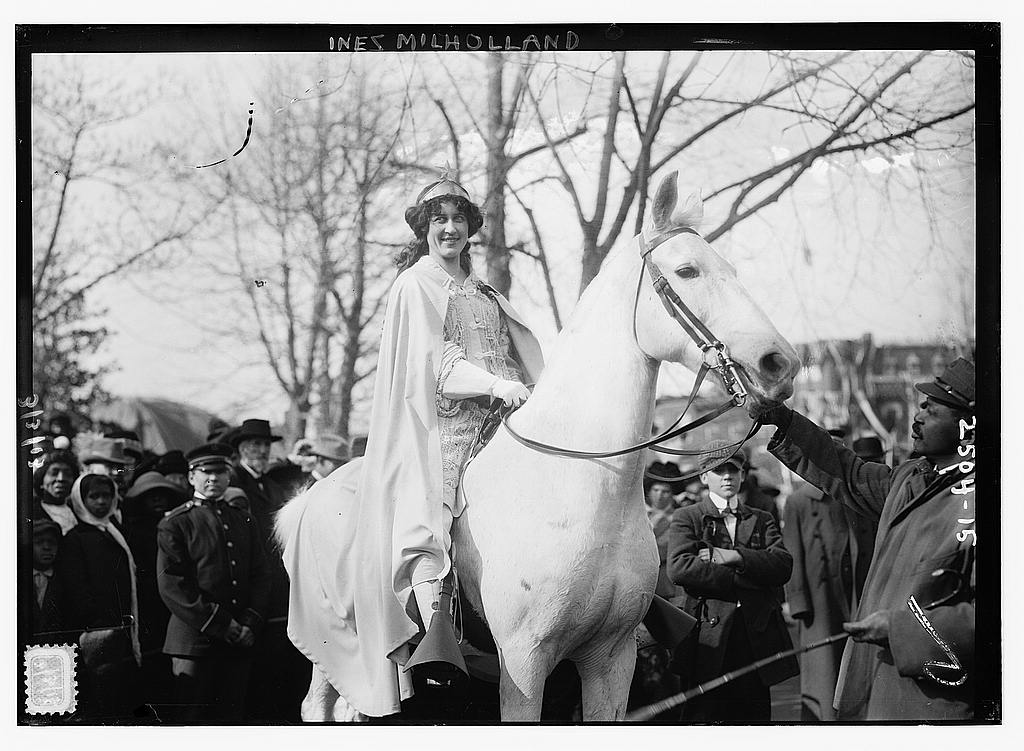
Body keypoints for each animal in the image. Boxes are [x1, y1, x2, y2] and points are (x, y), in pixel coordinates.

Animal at [280, 170, 798, 721]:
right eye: (687, 270)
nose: (780, 362)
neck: (585, 487)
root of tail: (308, 498)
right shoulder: (524, 662)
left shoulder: (612, 658)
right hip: (343, 652)